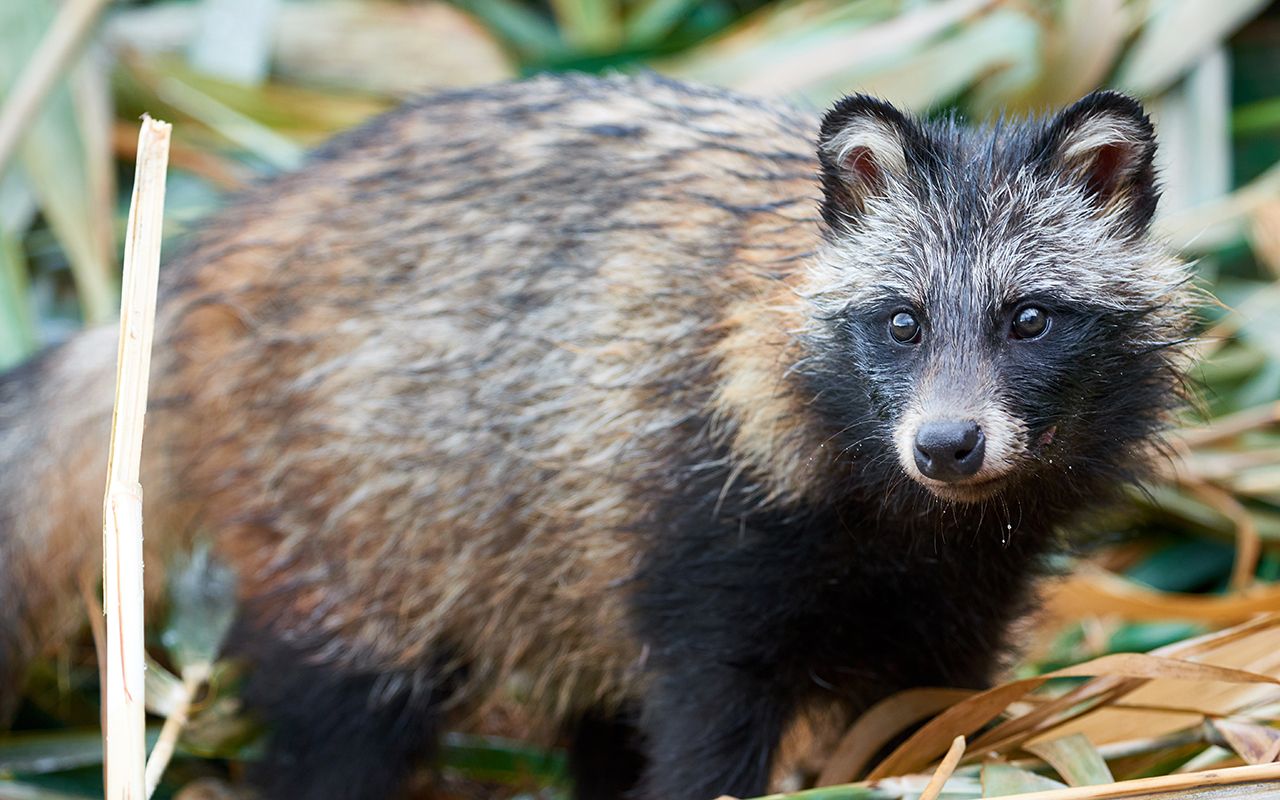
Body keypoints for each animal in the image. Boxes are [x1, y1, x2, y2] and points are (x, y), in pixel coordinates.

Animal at [0, 76, 1187, 798]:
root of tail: (181, 278)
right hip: (338, 507)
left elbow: (930, 715)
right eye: (900, 322)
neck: (906, 516)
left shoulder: (959, 591)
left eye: (1028, 319)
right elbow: (704, 726)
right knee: (340, 718)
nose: (946, 444)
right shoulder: (701, 520)